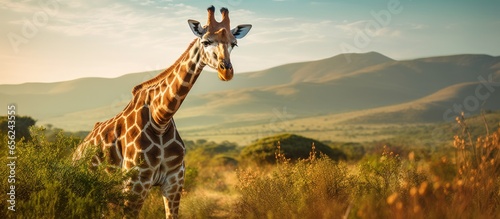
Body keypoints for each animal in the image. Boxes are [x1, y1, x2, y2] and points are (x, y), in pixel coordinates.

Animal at [72, 6, 252, 218]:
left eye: (234, 44)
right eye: (206, 41)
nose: (226, 72)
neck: (160, 119)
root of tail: (76, 151)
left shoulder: (174, 181)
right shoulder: (135, 183)